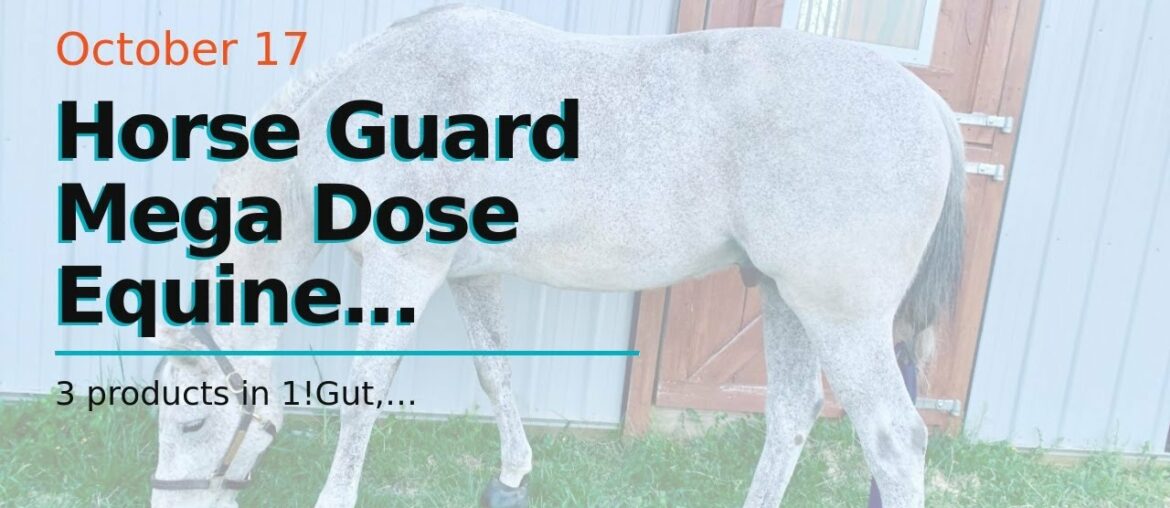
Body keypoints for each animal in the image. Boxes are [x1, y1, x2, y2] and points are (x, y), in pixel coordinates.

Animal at [147, 5, 964, 507]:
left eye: (191, 421)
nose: (164, 501)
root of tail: (929, 105)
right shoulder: (470, 274)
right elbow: (496, 373)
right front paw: (511, 477)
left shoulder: (403, 270)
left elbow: (364, 391)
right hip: (782, 296)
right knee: (792, 415)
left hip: (839, 316)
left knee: (893, 440)